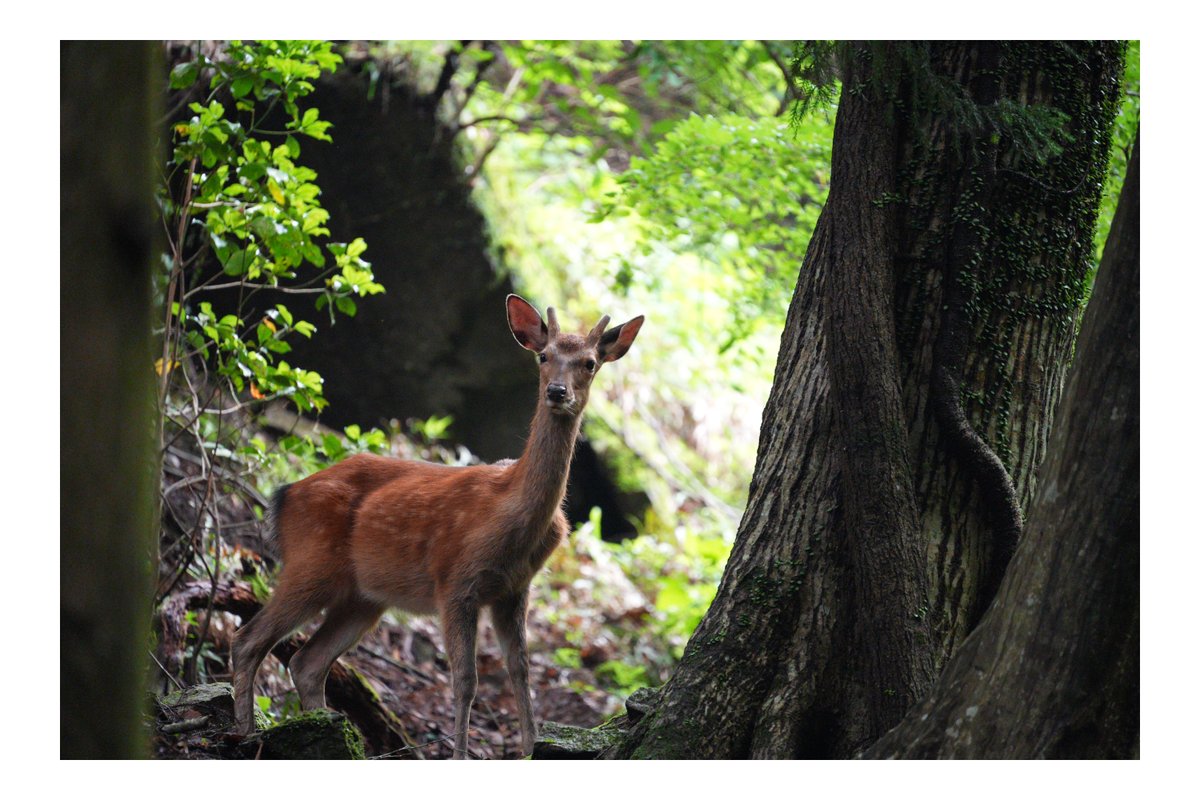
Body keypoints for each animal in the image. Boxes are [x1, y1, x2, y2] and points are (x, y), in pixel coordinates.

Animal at [231, 294, 644, 759]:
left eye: (590, 362)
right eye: (544, 356)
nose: (557, 391)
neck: (513, 515)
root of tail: (284, 495)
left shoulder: (514, 589)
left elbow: (520, 672)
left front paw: (531, 747)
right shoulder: (454, 580)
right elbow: (465, 681)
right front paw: (462, 754)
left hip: (363, 597)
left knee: (306, 661)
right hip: (310, 561)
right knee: (248, 639)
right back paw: (245, 733)